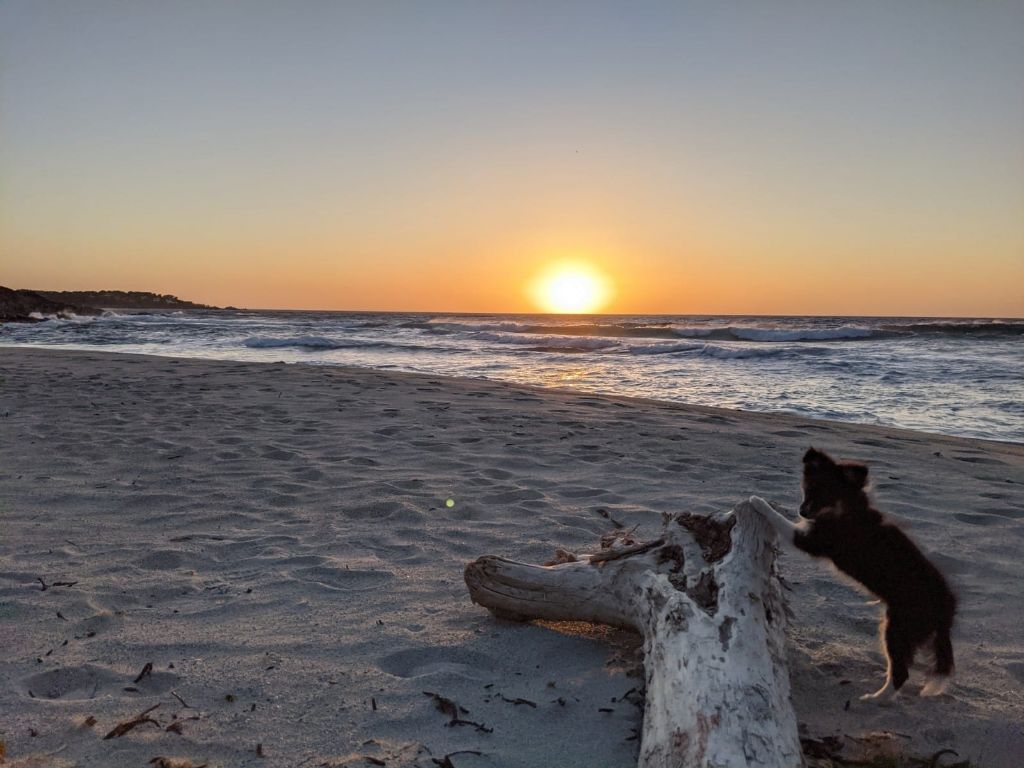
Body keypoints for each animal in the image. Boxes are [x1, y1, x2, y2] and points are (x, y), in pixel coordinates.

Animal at [749, 448, 954, 700]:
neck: (849, 506)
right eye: (808, 489)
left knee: (901, 673)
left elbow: (781, 520)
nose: (802, 511)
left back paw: (875, 699)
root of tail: (946, 610)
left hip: (898, 628)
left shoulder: (813, 540)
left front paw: (759, 502)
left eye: (825, 495)